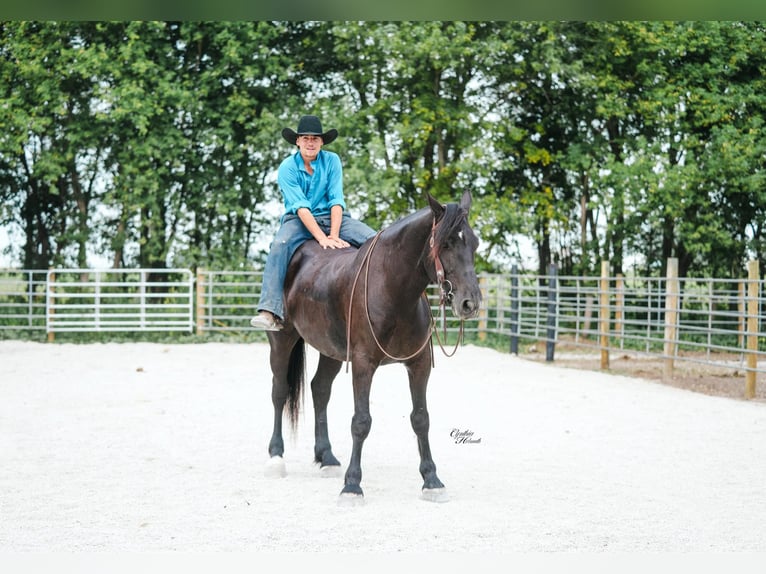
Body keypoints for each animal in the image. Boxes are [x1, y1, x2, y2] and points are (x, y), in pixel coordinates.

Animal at [262, 190, 481, 504]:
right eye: (447, 242)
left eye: (474, 242)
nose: (469, 303)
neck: (392, 290)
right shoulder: (363, 364)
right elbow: (361, 421)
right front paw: (352, 485)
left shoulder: (419, 365)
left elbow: (421, 419)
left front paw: (432, 480)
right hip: (282, 341)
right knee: (279, 391)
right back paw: (276, 458)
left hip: (332, 351)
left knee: (320, 390)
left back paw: (326, 457)